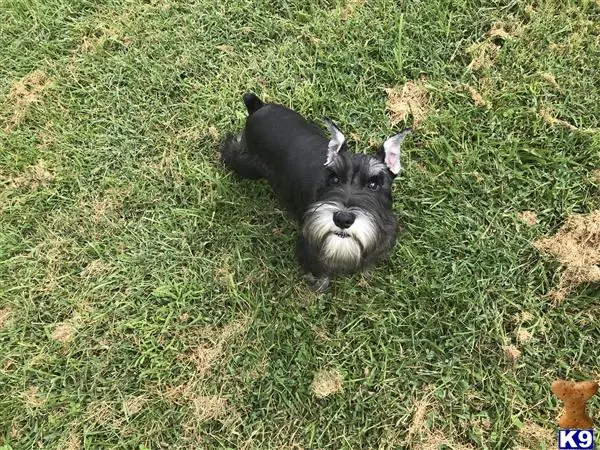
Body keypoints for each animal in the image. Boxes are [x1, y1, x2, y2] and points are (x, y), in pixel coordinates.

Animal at [221, 93, 412, 294]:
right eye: (334, 179)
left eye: (373, 184)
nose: (343, 219)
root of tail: (258, 107)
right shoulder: (311, 249)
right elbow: (320, 271)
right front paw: (319, 286)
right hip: (246, 163)